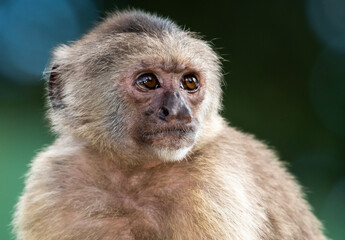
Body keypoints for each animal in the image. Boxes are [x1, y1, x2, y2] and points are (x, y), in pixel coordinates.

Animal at [12, 9, 326, 240]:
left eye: (190, 83)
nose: (178, 112)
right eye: (148, 81)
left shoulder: (211, 187)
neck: (133, 175)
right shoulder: (52, 182)